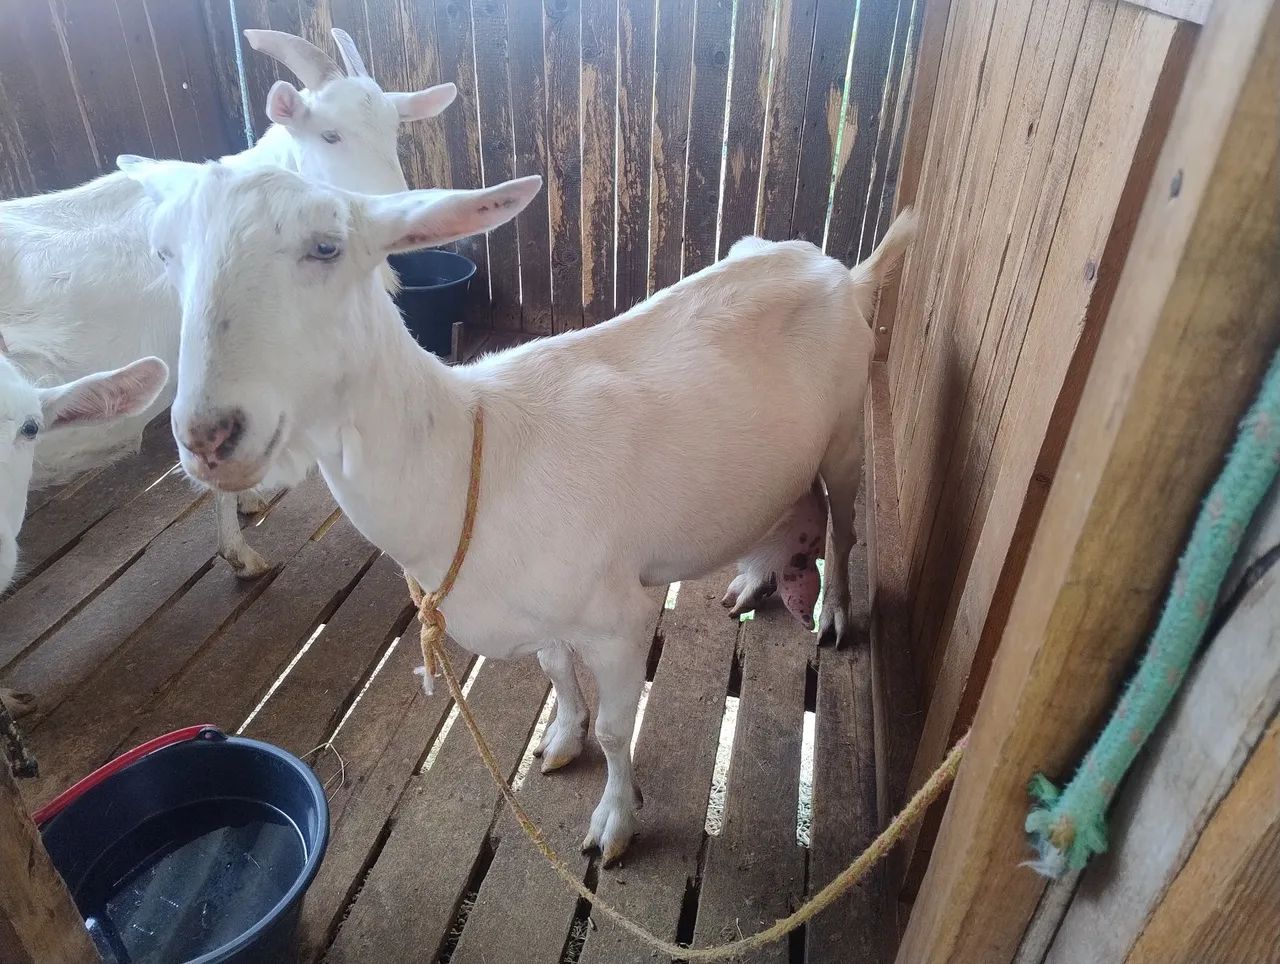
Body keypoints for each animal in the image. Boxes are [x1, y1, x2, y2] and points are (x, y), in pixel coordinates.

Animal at [118, 157, 916, 865]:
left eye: (326, 247)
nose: (208, 436)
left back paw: (833, 611)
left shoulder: (618, 618)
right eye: (162, 252)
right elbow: (556, 670)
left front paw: (615, 823)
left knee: (844, 526)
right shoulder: (540, 612)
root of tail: (838, 270)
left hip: (847, 431)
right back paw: (755, 578)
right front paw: (560, 739)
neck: (469, 458)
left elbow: (618, 731)